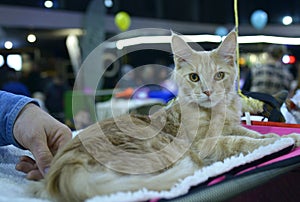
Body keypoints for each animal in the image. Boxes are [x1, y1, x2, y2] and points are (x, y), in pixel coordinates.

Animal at [29, 30, 300, 201]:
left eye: (220, 75)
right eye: (194, 77)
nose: (207, 91)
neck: (216, 112)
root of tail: (62, 170)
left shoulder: (232, 126)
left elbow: (251, 132)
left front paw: (288, 137)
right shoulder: (206, 144)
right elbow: (243, 141)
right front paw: (278, 140)